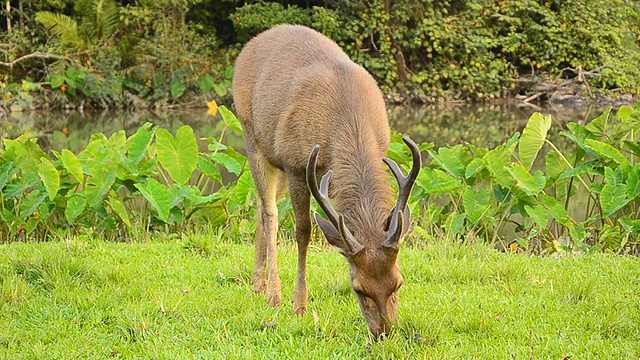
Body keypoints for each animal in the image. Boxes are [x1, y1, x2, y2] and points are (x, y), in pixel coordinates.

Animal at [232, 24, 422, 338]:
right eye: (358, 289)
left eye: (398, 282)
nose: (384, 333)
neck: (349, 117)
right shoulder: (297, 165)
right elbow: (304, 232)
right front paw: (299, 304)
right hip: (252, 136)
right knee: (270, 212)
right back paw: (273, 293)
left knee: (260, 204)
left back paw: (258, 283)